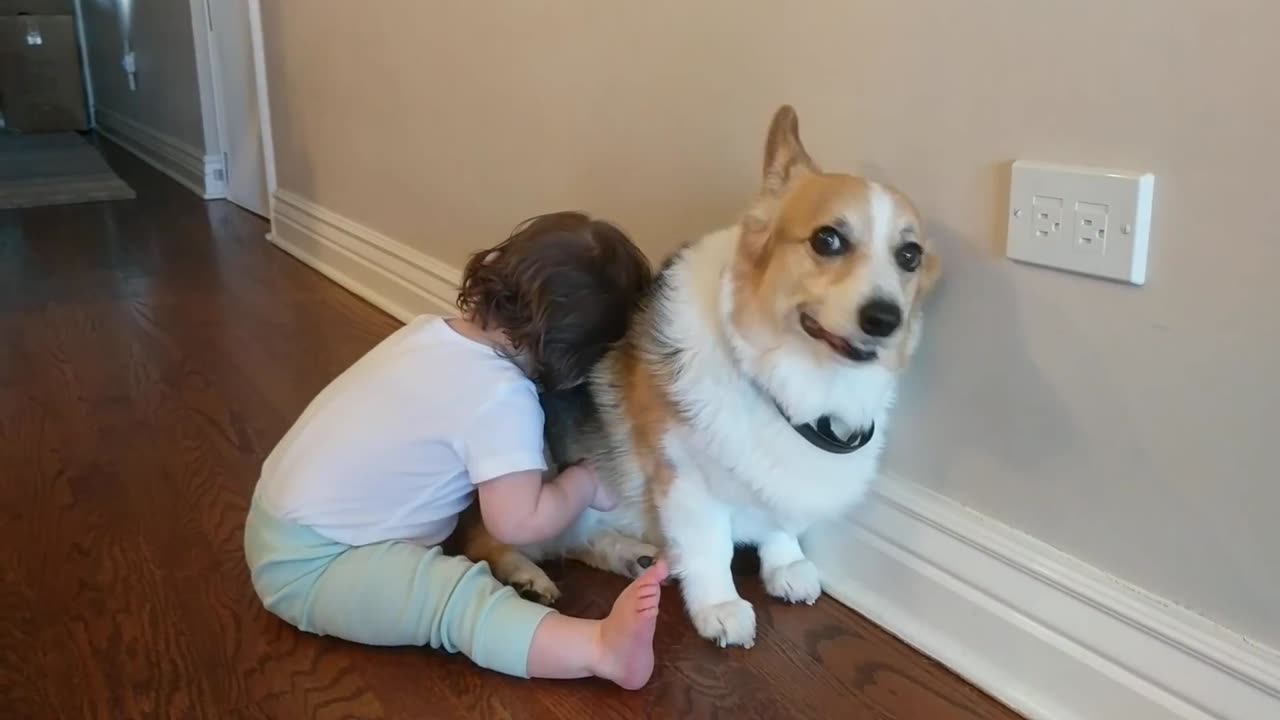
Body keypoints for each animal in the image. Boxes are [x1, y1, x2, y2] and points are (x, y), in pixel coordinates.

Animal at [460, 105, 942, 645]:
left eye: (910, 256)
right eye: (827, 240)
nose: (885, 319)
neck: (794, 381)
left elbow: (779, 522)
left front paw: (786, 565)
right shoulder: (685, 480)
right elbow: (712, 548)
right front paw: (721, 607)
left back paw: (631, 555)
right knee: (483, 538)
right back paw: (527, 575)